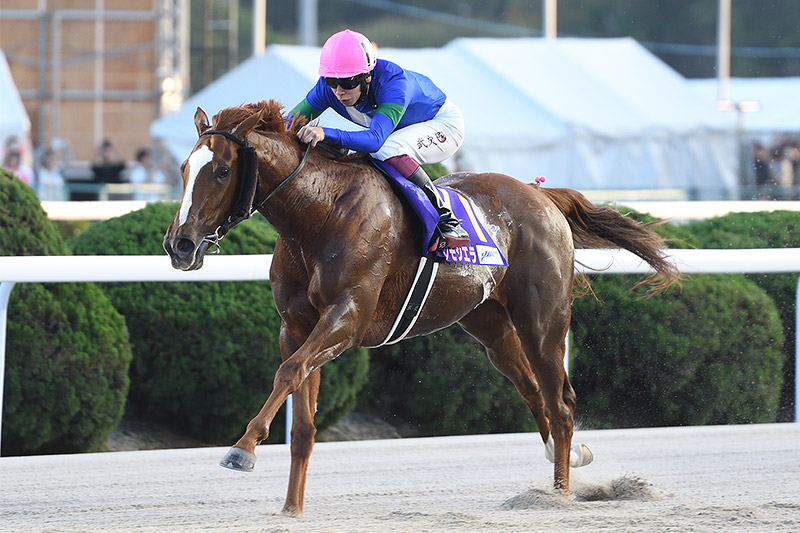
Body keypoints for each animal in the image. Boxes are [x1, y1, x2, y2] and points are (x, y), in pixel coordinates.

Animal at [163, 99, 679, 516]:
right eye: (184, 168)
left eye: (222, 171)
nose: (179, 245)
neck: (319, 214)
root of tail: (541, 195)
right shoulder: (296, 326)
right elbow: (303, 421)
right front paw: (292, 509)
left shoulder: (347, 317)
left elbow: (288, 372)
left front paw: (242, 448)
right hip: (490, 326)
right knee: (534, 393)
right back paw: (566, 458)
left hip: (542, 319)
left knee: (561, 402)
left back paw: (559, 496)